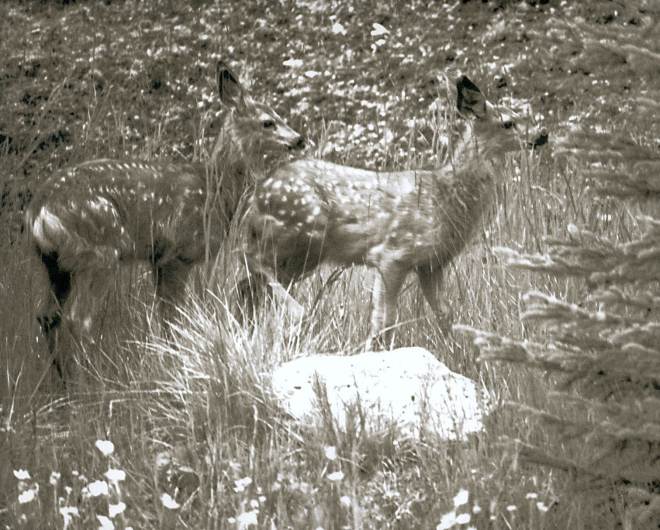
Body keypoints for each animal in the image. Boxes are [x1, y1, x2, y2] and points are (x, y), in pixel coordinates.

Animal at [26, 61, 305, 379]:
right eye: (268, 122)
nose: (299, 139)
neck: (215, 190)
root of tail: (38, 213)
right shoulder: (177, 254)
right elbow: (172, 317)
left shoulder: (157, 259)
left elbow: (163, 317)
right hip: (98, 252)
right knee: (78, 319)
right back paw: (90, 379)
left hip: (54, 264)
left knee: (47, 316)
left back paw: (64, 382)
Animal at [243, 75, 548, 347]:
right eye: (508, 123)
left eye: (520, 114)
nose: (542, 134)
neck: (447, 197)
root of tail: (256, 197)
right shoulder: (392, 254)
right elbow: (384, 319)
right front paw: (372, 351)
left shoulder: (432, 263)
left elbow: (445, 314)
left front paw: (460, 352)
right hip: (302, 234)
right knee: (252, 263)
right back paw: (296, 311)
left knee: (251, 283)